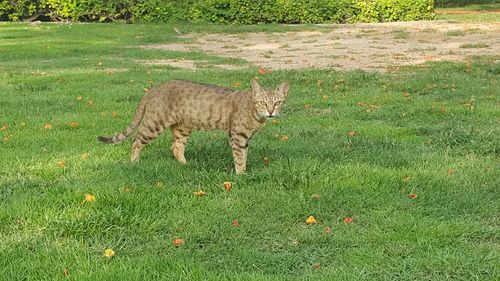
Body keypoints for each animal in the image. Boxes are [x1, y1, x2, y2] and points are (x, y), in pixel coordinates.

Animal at [98, 77, 292, 174]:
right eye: (262, 103)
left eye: (277, 103)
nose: (271, 112)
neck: (254, 113)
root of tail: (153, 88)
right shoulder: (237, 136)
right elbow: (239, 157)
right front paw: (240, 175)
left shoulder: (246, 139)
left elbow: (243, 156)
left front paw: (243, 171)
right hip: (154, 124)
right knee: (136, 141)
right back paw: (134, 162)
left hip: (182, 127)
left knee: (176, 147)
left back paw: (185, 164)